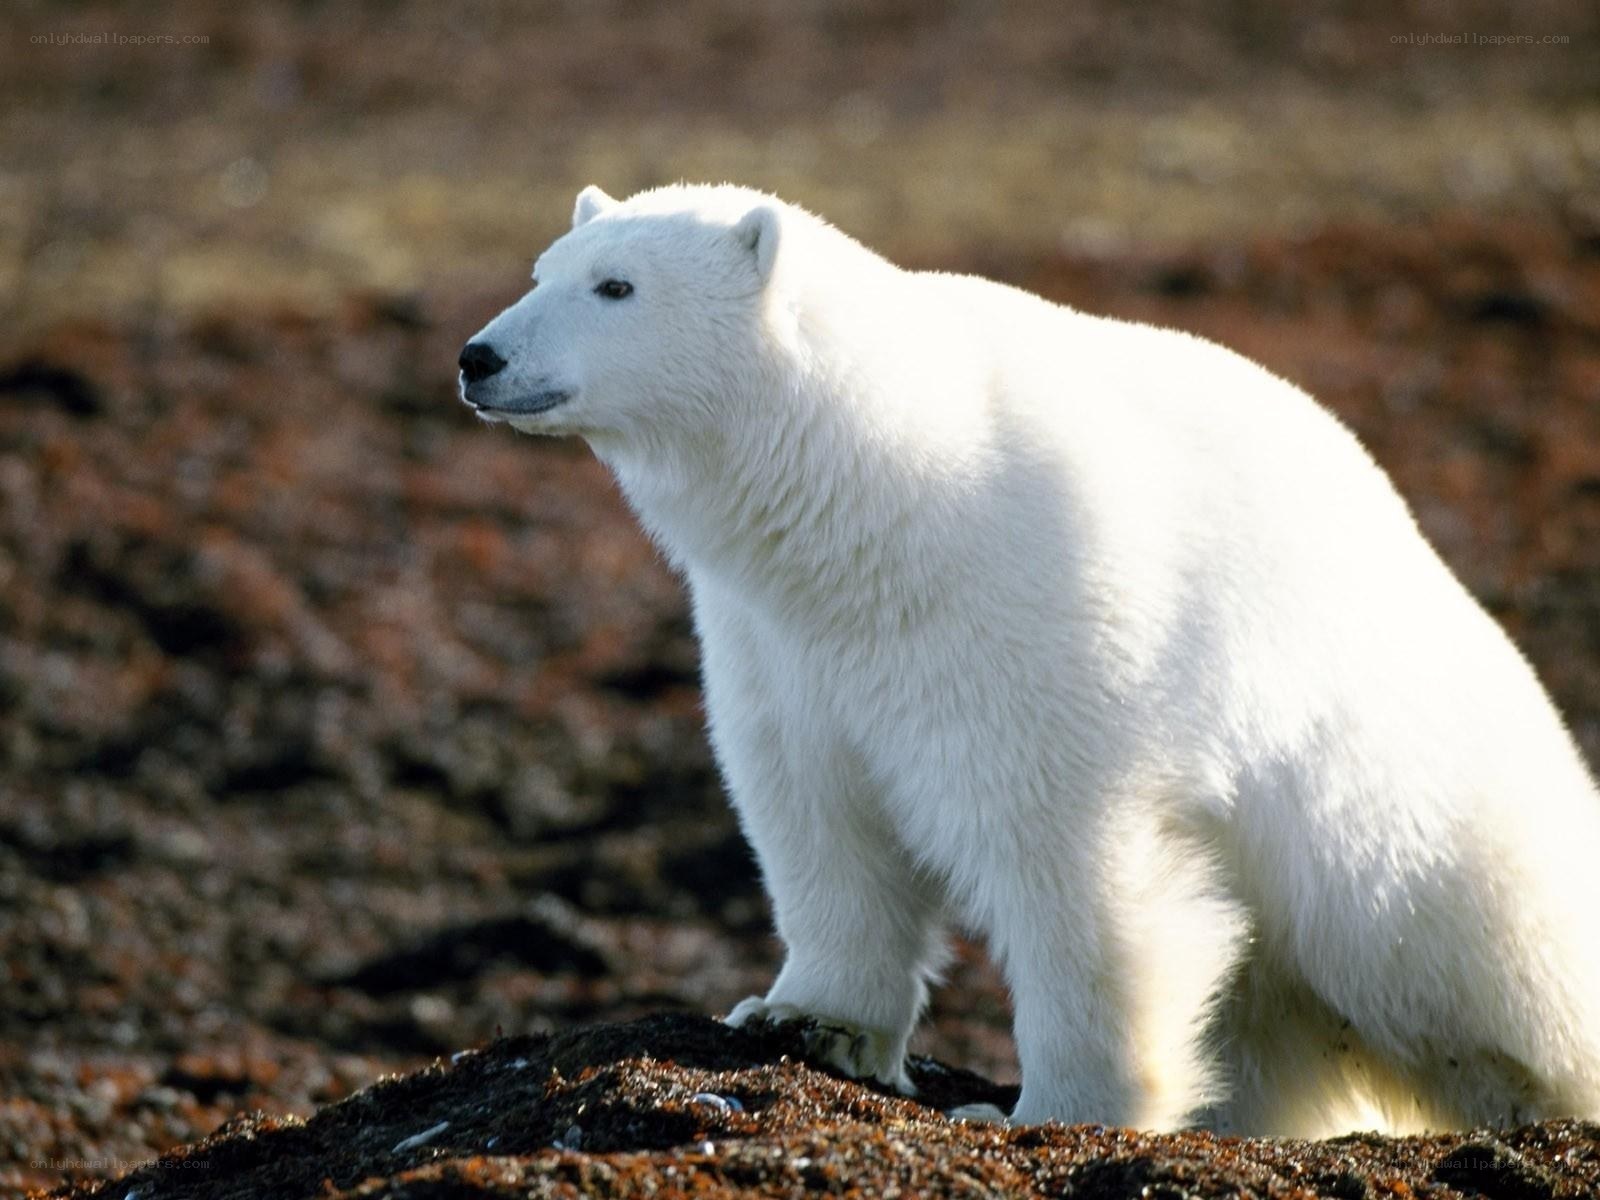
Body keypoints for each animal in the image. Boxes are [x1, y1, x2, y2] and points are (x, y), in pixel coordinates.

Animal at [459, 183, 1600, 1137]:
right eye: (542, 269)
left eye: (617, 286)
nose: (478, 357)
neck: (884, 507)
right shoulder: (775, 643)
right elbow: (816, 817)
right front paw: (802, 1020)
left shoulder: (1035, 614)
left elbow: (1072, 867)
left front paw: (1048, 1112)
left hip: (1409, 825)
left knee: (1495, 962)